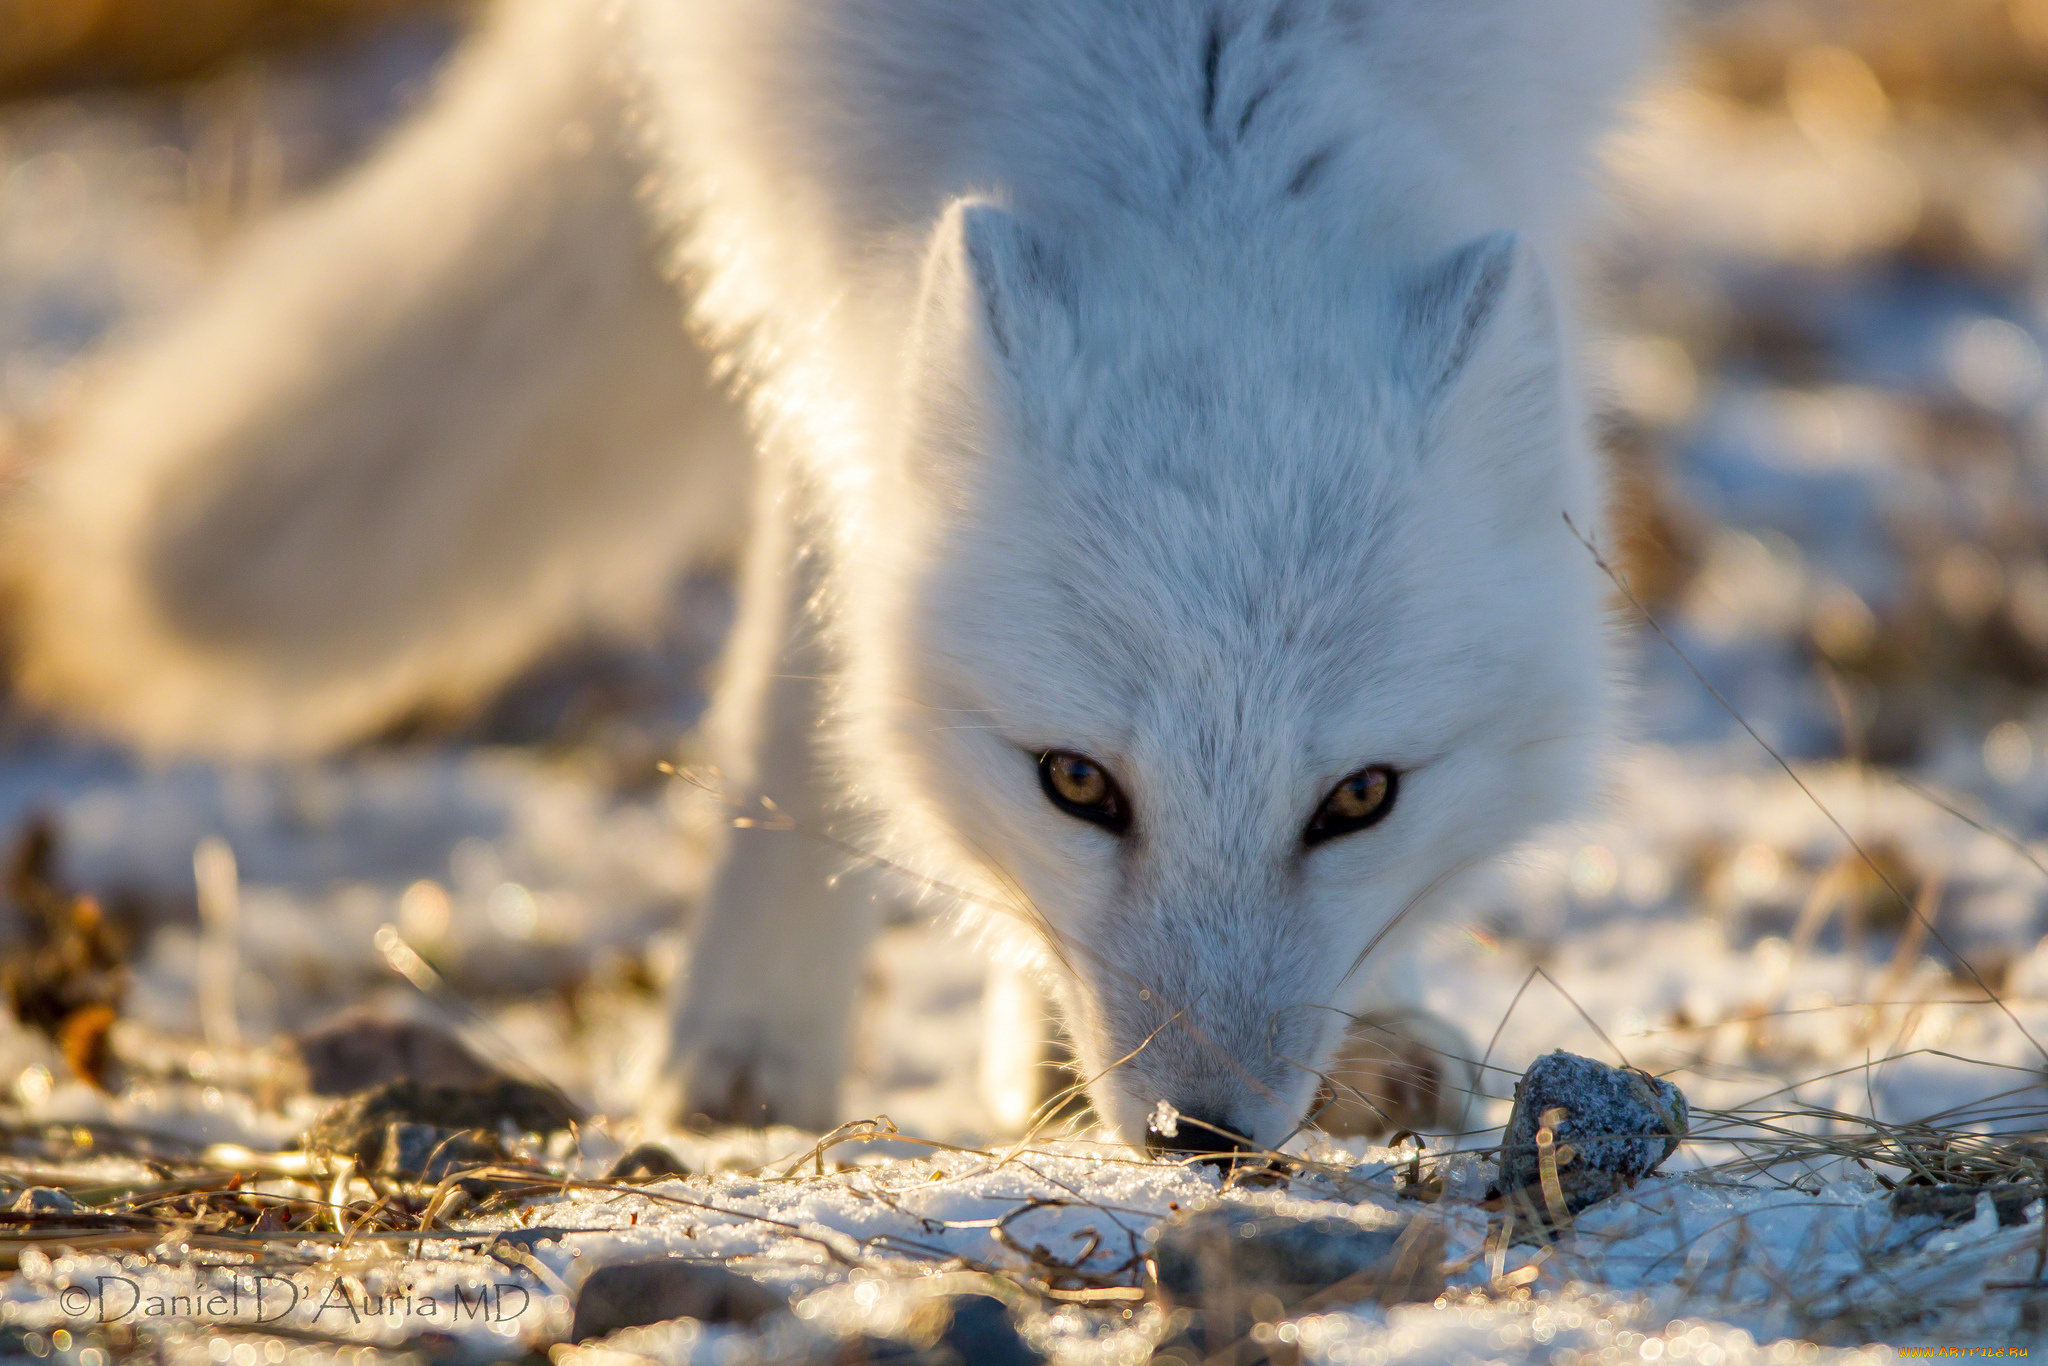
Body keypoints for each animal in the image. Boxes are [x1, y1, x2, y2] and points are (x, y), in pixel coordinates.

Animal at [4, 0, 1646, 1155]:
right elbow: (812, 677)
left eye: (1359, 798)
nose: (1204, 1136)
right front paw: (753, 1041)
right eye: (1077, 784)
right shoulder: (787, 219)